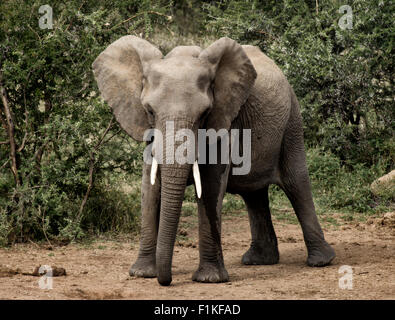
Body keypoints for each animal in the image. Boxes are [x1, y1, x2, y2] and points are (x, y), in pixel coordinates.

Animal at [92, 36, 334, 286]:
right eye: (149, 111)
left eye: (204, 113)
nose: (166, 280)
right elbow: (150, 187)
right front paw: (142, 273)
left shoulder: (224, 120)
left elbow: (210, 185)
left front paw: (209, 279)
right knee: (254, 193)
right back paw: (258, 260)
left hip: (292, 121)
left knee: (296, 182)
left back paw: (320, 261)